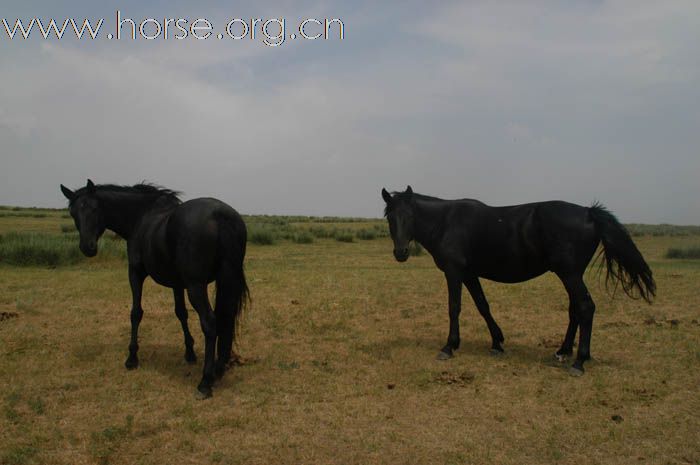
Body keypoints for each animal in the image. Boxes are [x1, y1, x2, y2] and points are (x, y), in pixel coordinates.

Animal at [60, 179, 249, 396]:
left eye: (94, 208)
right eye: (73, 212)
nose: (87, 247)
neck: (140, 216)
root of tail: (220, 215)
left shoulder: (135, 273)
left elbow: (136, 313)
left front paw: (132, 358)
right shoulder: (177, 283)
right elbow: (181, 313)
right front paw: (189, 352)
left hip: (196, 286)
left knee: (209, 322)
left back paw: (205, 382)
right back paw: (218, 369)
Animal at [380, 185, 652, 374]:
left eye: (410, 216)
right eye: (390, 217)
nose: (401, 253)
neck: (447, 222)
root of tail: (588, 213)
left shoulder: (454, 272)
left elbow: (454, 307)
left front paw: (449, 347)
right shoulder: (469, 274)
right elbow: (482, 305)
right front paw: (497, 343)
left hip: (570, 274)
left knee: (585, 307)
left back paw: (579, 362)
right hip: (570, 275)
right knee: (575, 308)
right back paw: (563, 351)